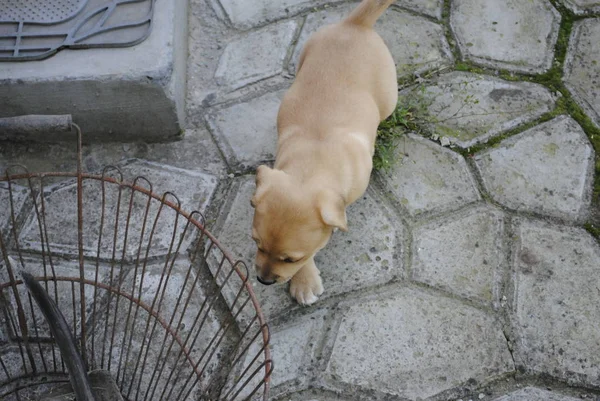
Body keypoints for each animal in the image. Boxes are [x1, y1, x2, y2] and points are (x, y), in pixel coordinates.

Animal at [250, 0, 398, 304]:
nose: (263, 281)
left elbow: (318, 243)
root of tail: (354, 24)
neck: (313, 160)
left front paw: (303, 282)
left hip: (389, 95)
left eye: (291, 259)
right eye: (256, 243)